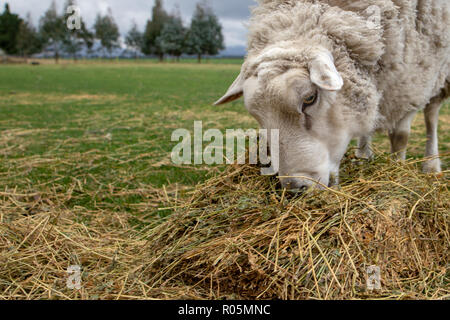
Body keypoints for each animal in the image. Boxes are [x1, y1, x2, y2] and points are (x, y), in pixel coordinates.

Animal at [216, 0, 448, 190]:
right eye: (258, 117)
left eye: (309, 98)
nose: (295, 188)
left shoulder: (412, 79)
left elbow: (400, 136)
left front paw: (398, 168)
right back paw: (363, 156)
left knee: (431, 113)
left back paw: (431, 165)